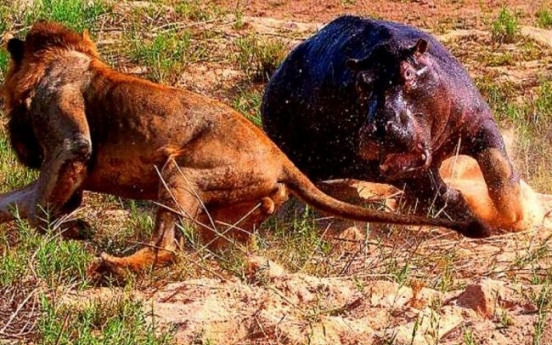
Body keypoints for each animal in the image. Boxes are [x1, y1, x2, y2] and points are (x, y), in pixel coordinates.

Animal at [1, 21, 488, 274]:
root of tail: (280, 156)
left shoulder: (68, 139)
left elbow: (48, 195)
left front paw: (57, 231)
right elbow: (16, 201)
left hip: (179, 171)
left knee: (169, 248)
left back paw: (114, 266)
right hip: (224, 197)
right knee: (233, 232)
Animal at [260, 15, 528, 228]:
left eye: (407, 73)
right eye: (361, 83)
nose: (381, 127)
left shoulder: (477, 119)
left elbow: (496, 162)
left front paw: (514, 215)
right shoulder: (381, 167)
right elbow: (433, 188)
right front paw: (469, 211)